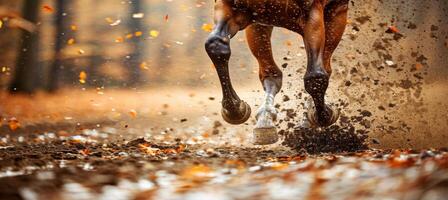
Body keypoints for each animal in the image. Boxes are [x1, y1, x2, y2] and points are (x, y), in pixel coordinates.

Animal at [205, 0, 348, 144]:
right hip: (262, 22)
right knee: (271, 73)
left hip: (335, 14)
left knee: (324, 67)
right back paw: (265, 119)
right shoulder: (235, 8)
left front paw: (324, 115)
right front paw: (236, 110)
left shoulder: (316, 12)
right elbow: (215, 44)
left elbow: (315, 76)